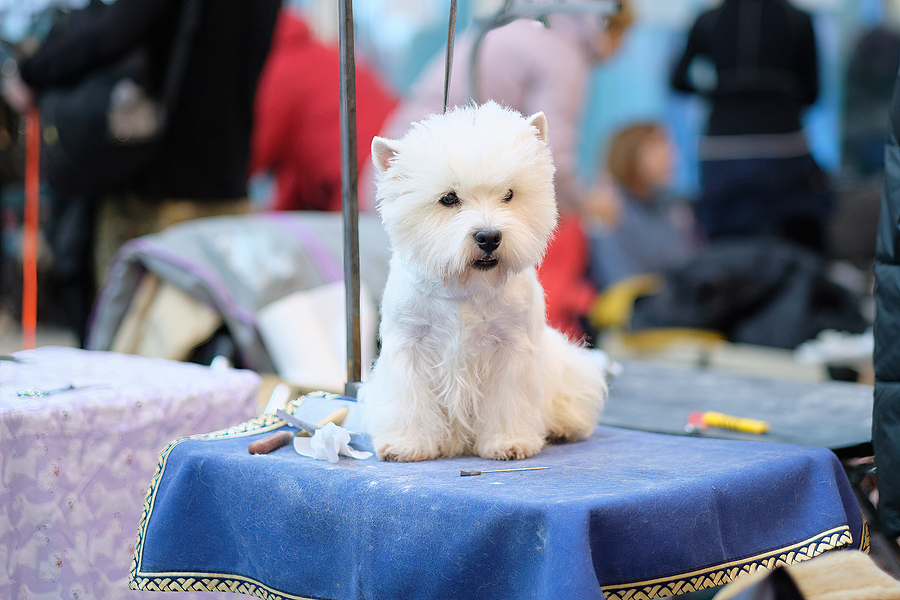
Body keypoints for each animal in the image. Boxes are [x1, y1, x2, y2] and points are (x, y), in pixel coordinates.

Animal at [358, 101, 604, 462]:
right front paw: (407, 443)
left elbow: (507, 402)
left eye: (509, 194)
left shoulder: (511, 347)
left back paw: (562, 428)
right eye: (449, 198)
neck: (465, 286)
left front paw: (508, 442)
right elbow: (409, 399)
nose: (489, 237)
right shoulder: (409, 345)